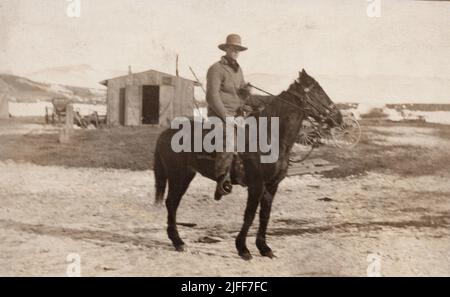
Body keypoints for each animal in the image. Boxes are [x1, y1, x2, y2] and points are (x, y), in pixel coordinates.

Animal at [153, 69, 342, 260]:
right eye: (317, 90)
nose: (338, 117)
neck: (270, 137)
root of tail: (166, 132)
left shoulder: (272, 185)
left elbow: (265, 215)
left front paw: (264, 248)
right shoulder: (256, 185)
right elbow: (249, 215)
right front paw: (243, 249)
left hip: (187, 175)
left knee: (173, 203)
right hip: (178, 176)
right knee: (171, 203)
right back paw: (178, 242)